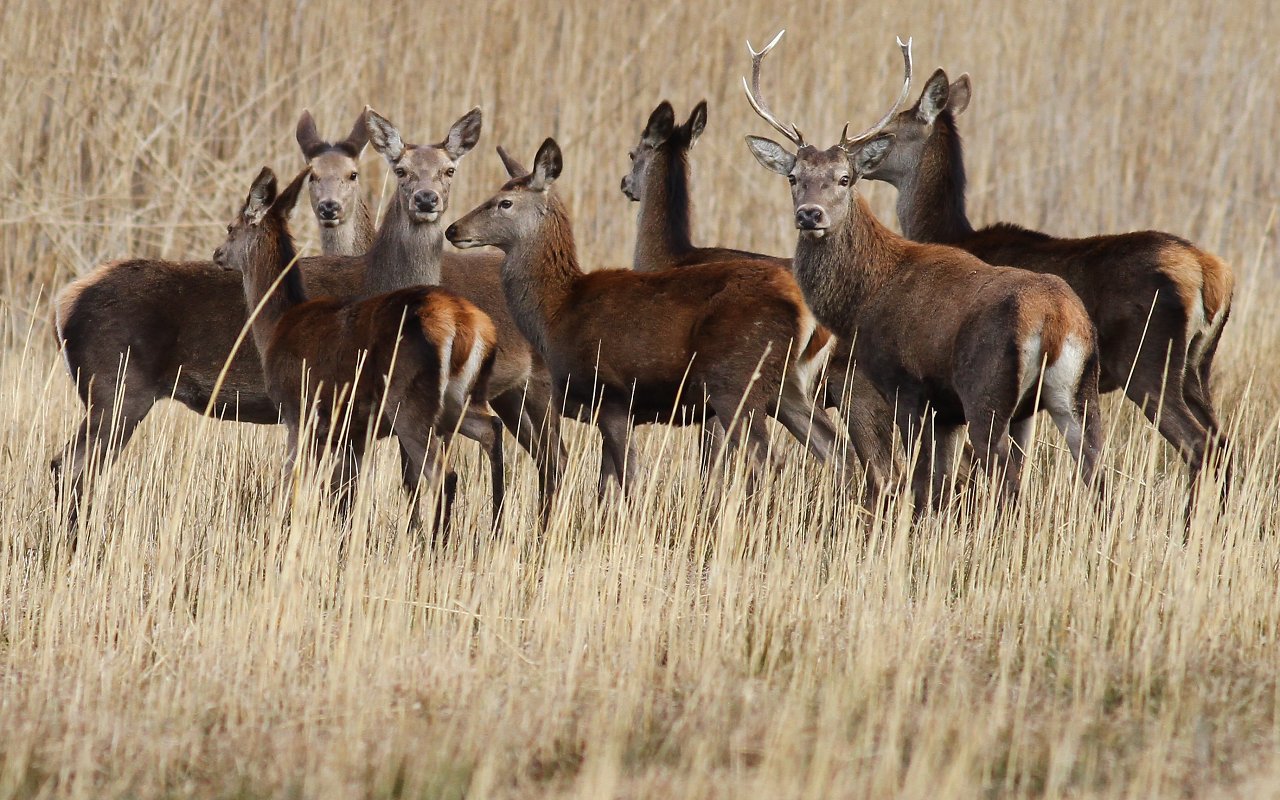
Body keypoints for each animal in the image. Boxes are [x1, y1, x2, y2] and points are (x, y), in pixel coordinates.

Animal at [213, 166, 498, 532]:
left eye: (230, 227)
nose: (217, 254)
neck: (276, 326)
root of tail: (466, 323)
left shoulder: (298, 411)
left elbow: (291, 483)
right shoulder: (353, 430)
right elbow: (346, 495)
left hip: (409, 401)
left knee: (443, 475)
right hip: (462, 398)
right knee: (492, 431)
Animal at [445, 139, 854, 500]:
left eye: (504, 202)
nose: (453, 228)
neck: (556, 311)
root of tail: (805, 310)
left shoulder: (611, 396)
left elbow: (630, 484)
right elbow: (607, 487)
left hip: (736, 381)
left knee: (768, 460)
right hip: (790, 386)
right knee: (839, 453)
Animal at [620, 99, 898, 495]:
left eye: (633, 153)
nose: (625, 184)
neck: (668, 258)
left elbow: (711, 465)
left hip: (854, 386)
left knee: (884, 468)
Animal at [743, 32, 1104, 508]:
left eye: (844, 178)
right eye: (793, 177)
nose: (810, 214)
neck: (867, 297)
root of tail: (1056, 319)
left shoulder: (907, 387)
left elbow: (918, 480)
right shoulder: (945, 411)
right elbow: (938, 483)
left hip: (986, 391)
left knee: (1006, 475)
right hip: (1075, 394)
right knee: (1095, 472)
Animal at [853, 65, 1234, 495]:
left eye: (889, 131)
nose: (853, 152)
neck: (945, 235)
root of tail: (1207, 272)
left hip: (1148, 364)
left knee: (1200, 445)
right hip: (1197, 368)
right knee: (1224, 444)